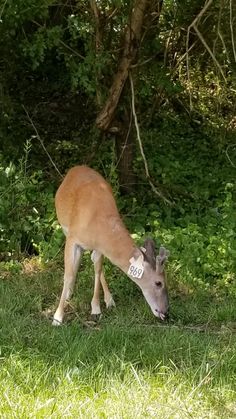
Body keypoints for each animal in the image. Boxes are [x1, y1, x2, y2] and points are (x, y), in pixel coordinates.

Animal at [53, 166, 170, 326]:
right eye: (159, 283)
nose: (166, 311)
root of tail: (76, 168)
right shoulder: (72, 239)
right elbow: (68, 274)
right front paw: (57, 317)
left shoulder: (100, 246)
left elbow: (97, 270)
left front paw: (96, 309)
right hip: (65, 229)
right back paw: (69, 294)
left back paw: (109, 300)